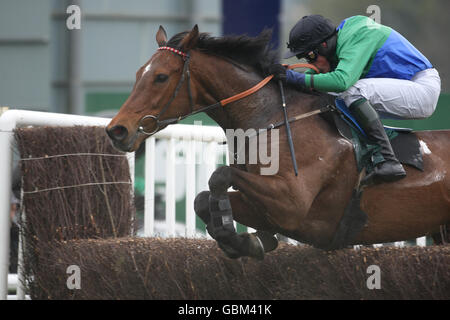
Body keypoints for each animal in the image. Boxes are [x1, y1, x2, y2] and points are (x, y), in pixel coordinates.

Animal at [106, 25, 450, 260]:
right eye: (138, 74)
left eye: (161, 77)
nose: (117, 130)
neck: (270, 118)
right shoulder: (277, 209)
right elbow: (202, 199)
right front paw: (248, 239)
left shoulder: (292, 204)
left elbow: (219, 176)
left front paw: (240, 237)